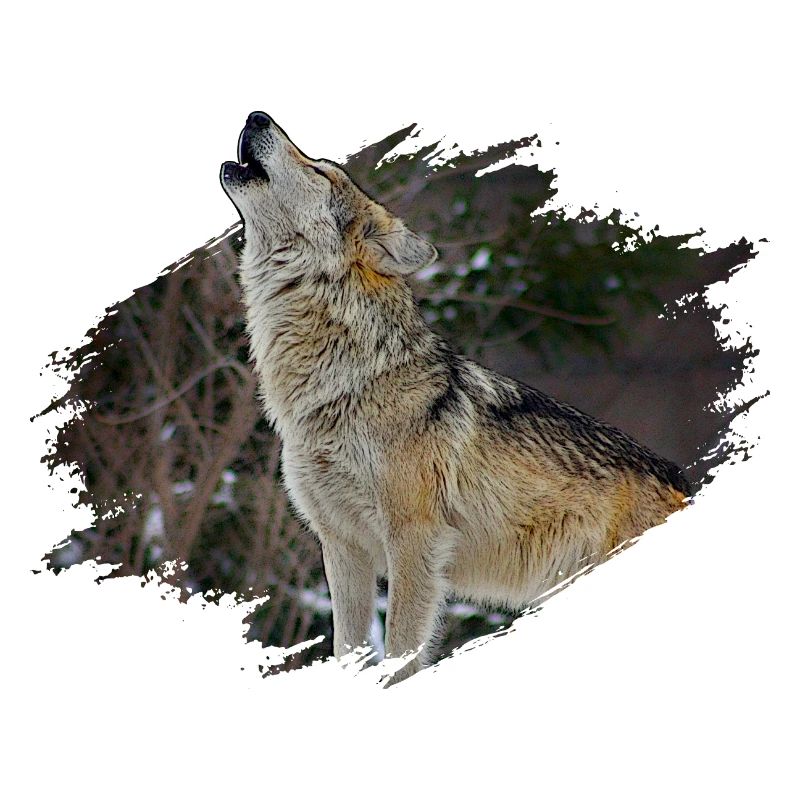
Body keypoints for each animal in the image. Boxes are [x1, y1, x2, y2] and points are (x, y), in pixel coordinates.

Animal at [220, 111, 691, 684]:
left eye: (321, 170)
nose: (256, 115)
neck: (341, 385)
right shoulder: (342, 547)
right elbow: (346, 650)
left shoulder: (414, 542)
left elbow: (400, 658)